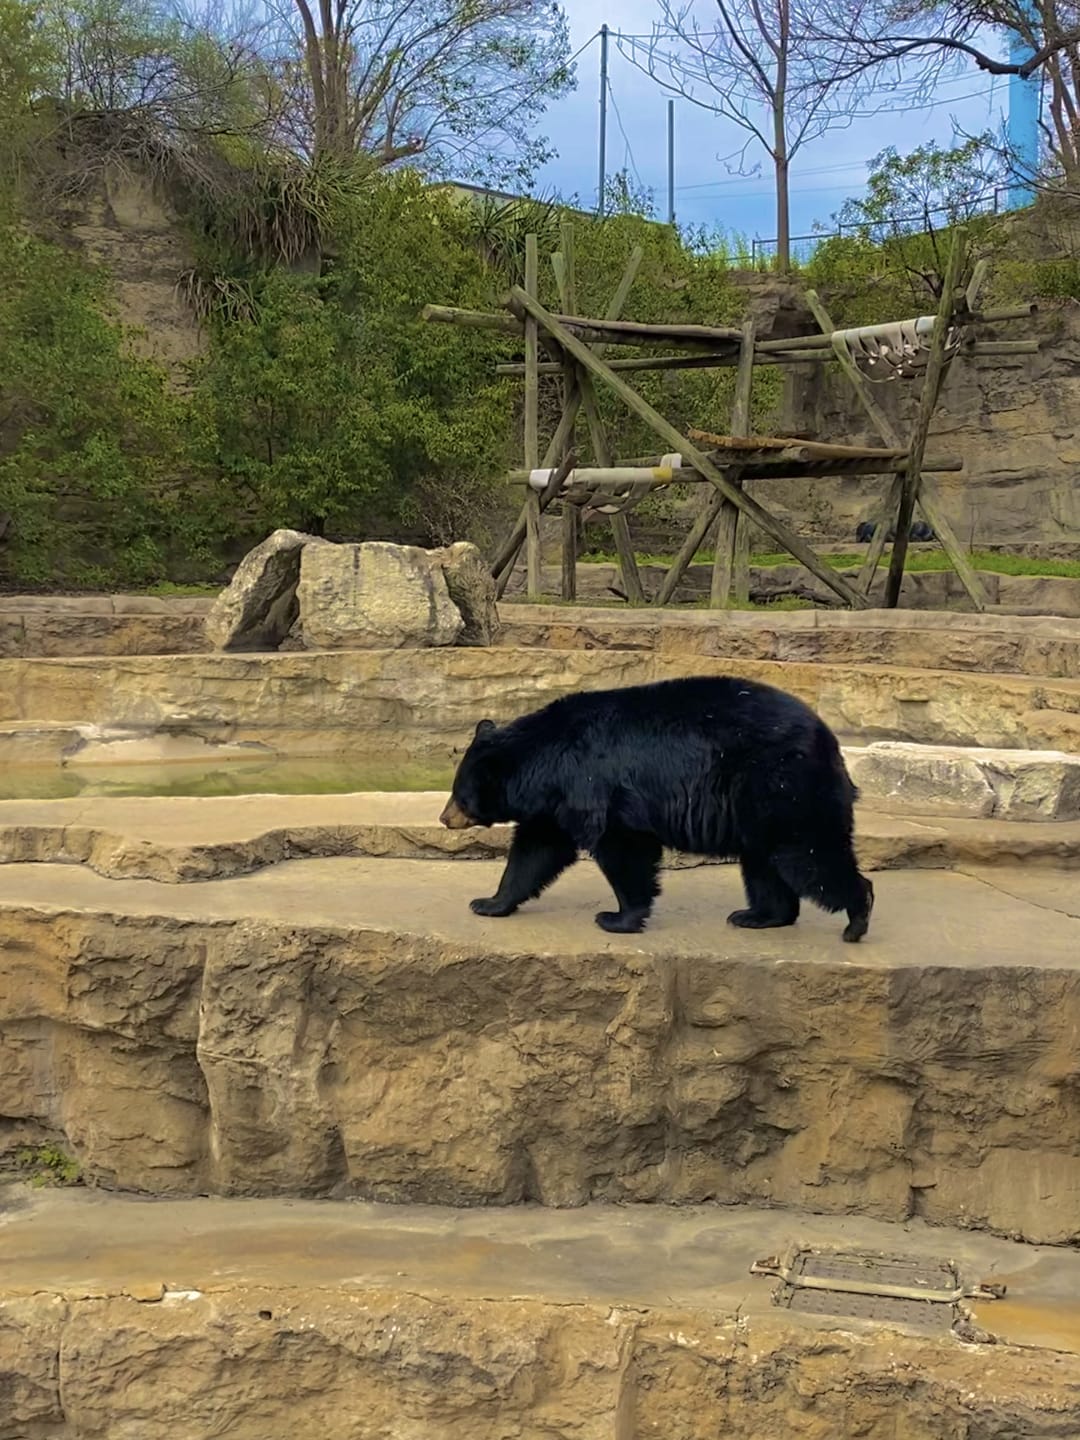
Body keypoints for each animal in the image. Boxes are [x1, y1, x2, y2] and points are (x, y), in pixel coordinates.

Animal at [439, 676, 874, 943]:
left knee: (809, 854)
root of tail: (830, 741)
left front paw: (616, 918)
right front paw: (488, 903)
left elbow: (624, 848)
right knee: (764, 862)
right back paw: (757, 916)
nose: (444, 818)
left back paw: (856, 918)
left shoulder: (595, 784)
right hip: (758, 806)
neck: (547, 760)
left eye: (460, 794)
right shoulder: (556, 803)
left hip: (783, 787)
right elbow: (536, 850)